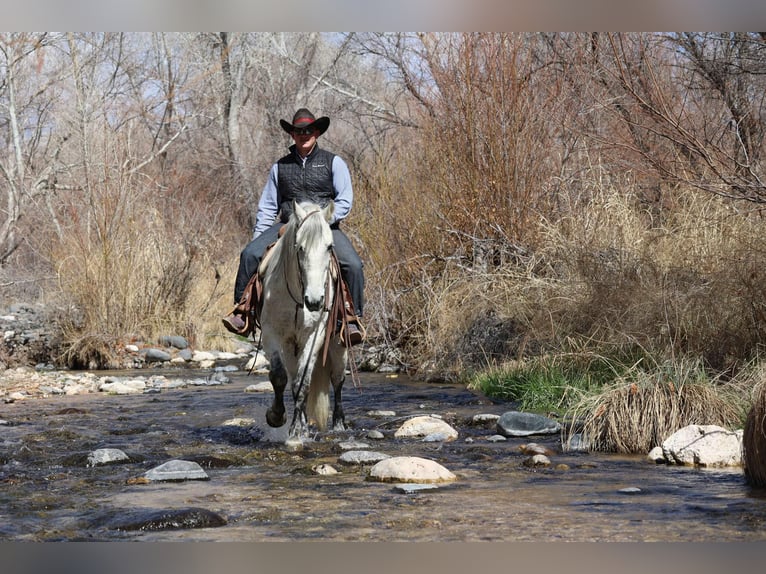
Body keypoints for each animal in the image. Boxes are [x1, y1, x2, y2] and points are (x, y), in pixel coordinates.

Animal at [260, 201, 352, 450]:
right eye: (300, 248)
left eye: (329, 247)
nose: (315, 301)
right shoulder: (272, 335)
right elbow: (280, 377)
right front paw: (277, 417)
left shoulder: (315, 336)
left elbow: (304, 383)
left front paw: (295, 433)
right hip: (292, 347)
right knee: (292, 378)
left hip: (338, 345)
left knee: (338, 380)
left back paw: (339, 425)